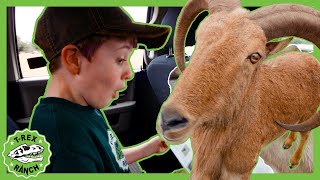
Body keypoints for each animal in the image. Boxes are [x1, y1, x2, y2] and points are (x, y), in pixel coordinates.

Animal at [158, 0, 320, 179]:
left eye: (255, 56)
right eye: (199, 37)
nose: (169, 120)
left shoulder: (239, 169)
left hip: (309, 113)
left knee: (305, 133)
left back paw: (293, 160)